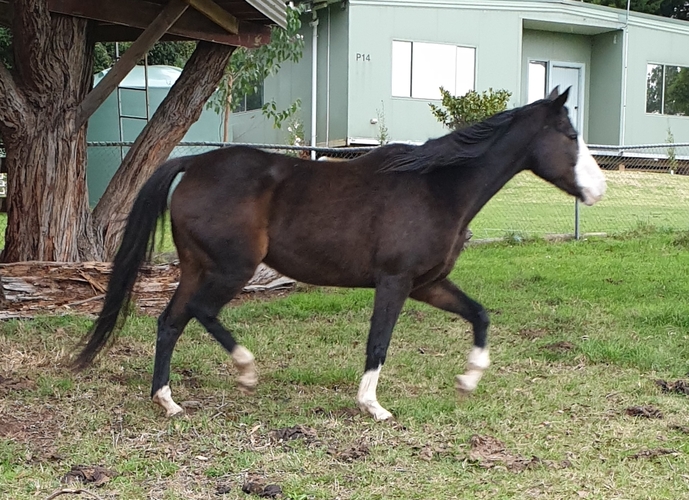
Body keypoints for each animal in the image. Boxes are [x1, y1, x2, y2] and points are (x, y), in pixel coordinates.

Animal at [73, 87, 606, 421]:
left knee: (171, 321)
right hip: (231, 268)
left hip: (196, 267)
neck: (436, 187)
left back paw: (168, 401)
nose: (599, 189)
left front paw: (468, 380)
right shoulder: (394, 281)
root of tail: (195, 162)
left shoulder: (428, 283)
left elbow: (479, 314)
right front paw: (373, 406)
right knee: (202, 312)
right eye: (570, 136)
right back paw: (246, 371)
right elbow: (378, 343)